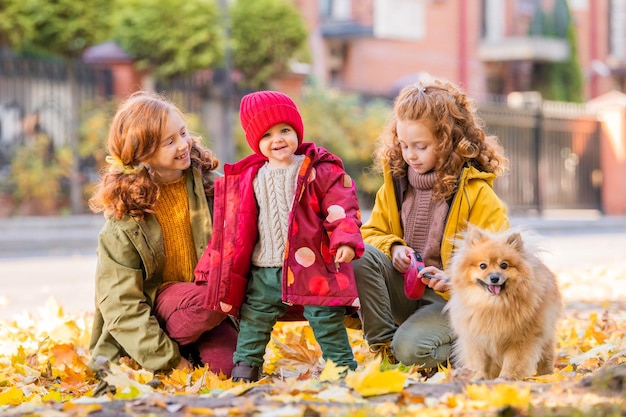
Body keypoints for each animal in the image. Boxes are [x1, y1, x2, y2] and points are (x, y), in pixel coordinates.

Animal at [444, 226, 560, 378]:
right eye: (483, 266)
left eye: (504, 265)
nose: (494, 278)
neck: (493, 305)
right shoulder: (477, 338)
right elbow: (480, 362)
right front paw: (479, 377)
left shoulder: (521, 338)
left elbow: (513, 361)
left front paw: (506, 377)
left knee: (546, 356)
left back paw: (546, 375)